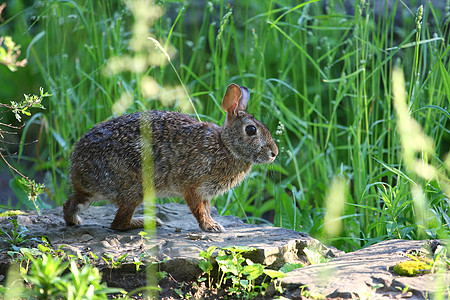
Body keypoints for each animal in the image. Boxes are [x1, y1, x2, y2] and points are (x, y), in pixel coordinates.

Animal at [63, 83, 278, 233]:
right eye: (251, 130)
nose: (274, 153)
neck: (225, 145)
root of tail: (76, 167)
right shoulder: (191, 185)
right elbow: (198, 209)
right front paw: (212, 227)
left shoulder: (205, 193)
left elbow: (207, 208)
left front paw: (212, 223)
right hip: (135, 187)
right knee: (118, 224)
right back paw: (147, 222)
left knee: (72, 204)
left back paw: (74, 220)